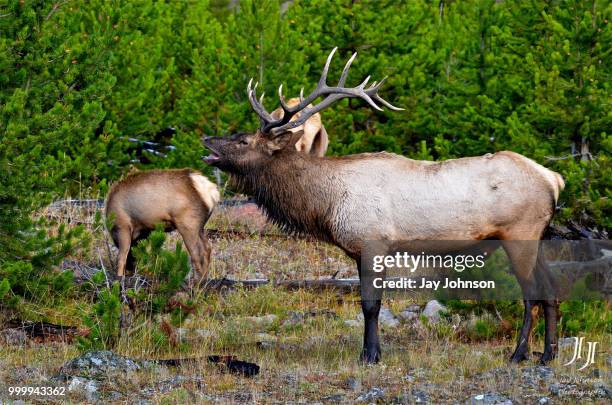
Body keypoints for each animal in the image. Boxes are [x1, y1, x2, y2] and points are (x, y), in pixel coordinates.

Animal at [203, 49, 568, 364]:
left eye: (243, 140)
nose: (207, 140)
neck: (326, 203)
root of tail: (554, 178)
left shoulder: (373, 242)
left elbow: (370, 305)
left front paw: (370, 355)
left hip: (519, 233)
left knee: (531, 294)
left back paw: (519, 354)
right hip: (538, 235)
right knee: (551, 290)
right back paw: (547, 355)